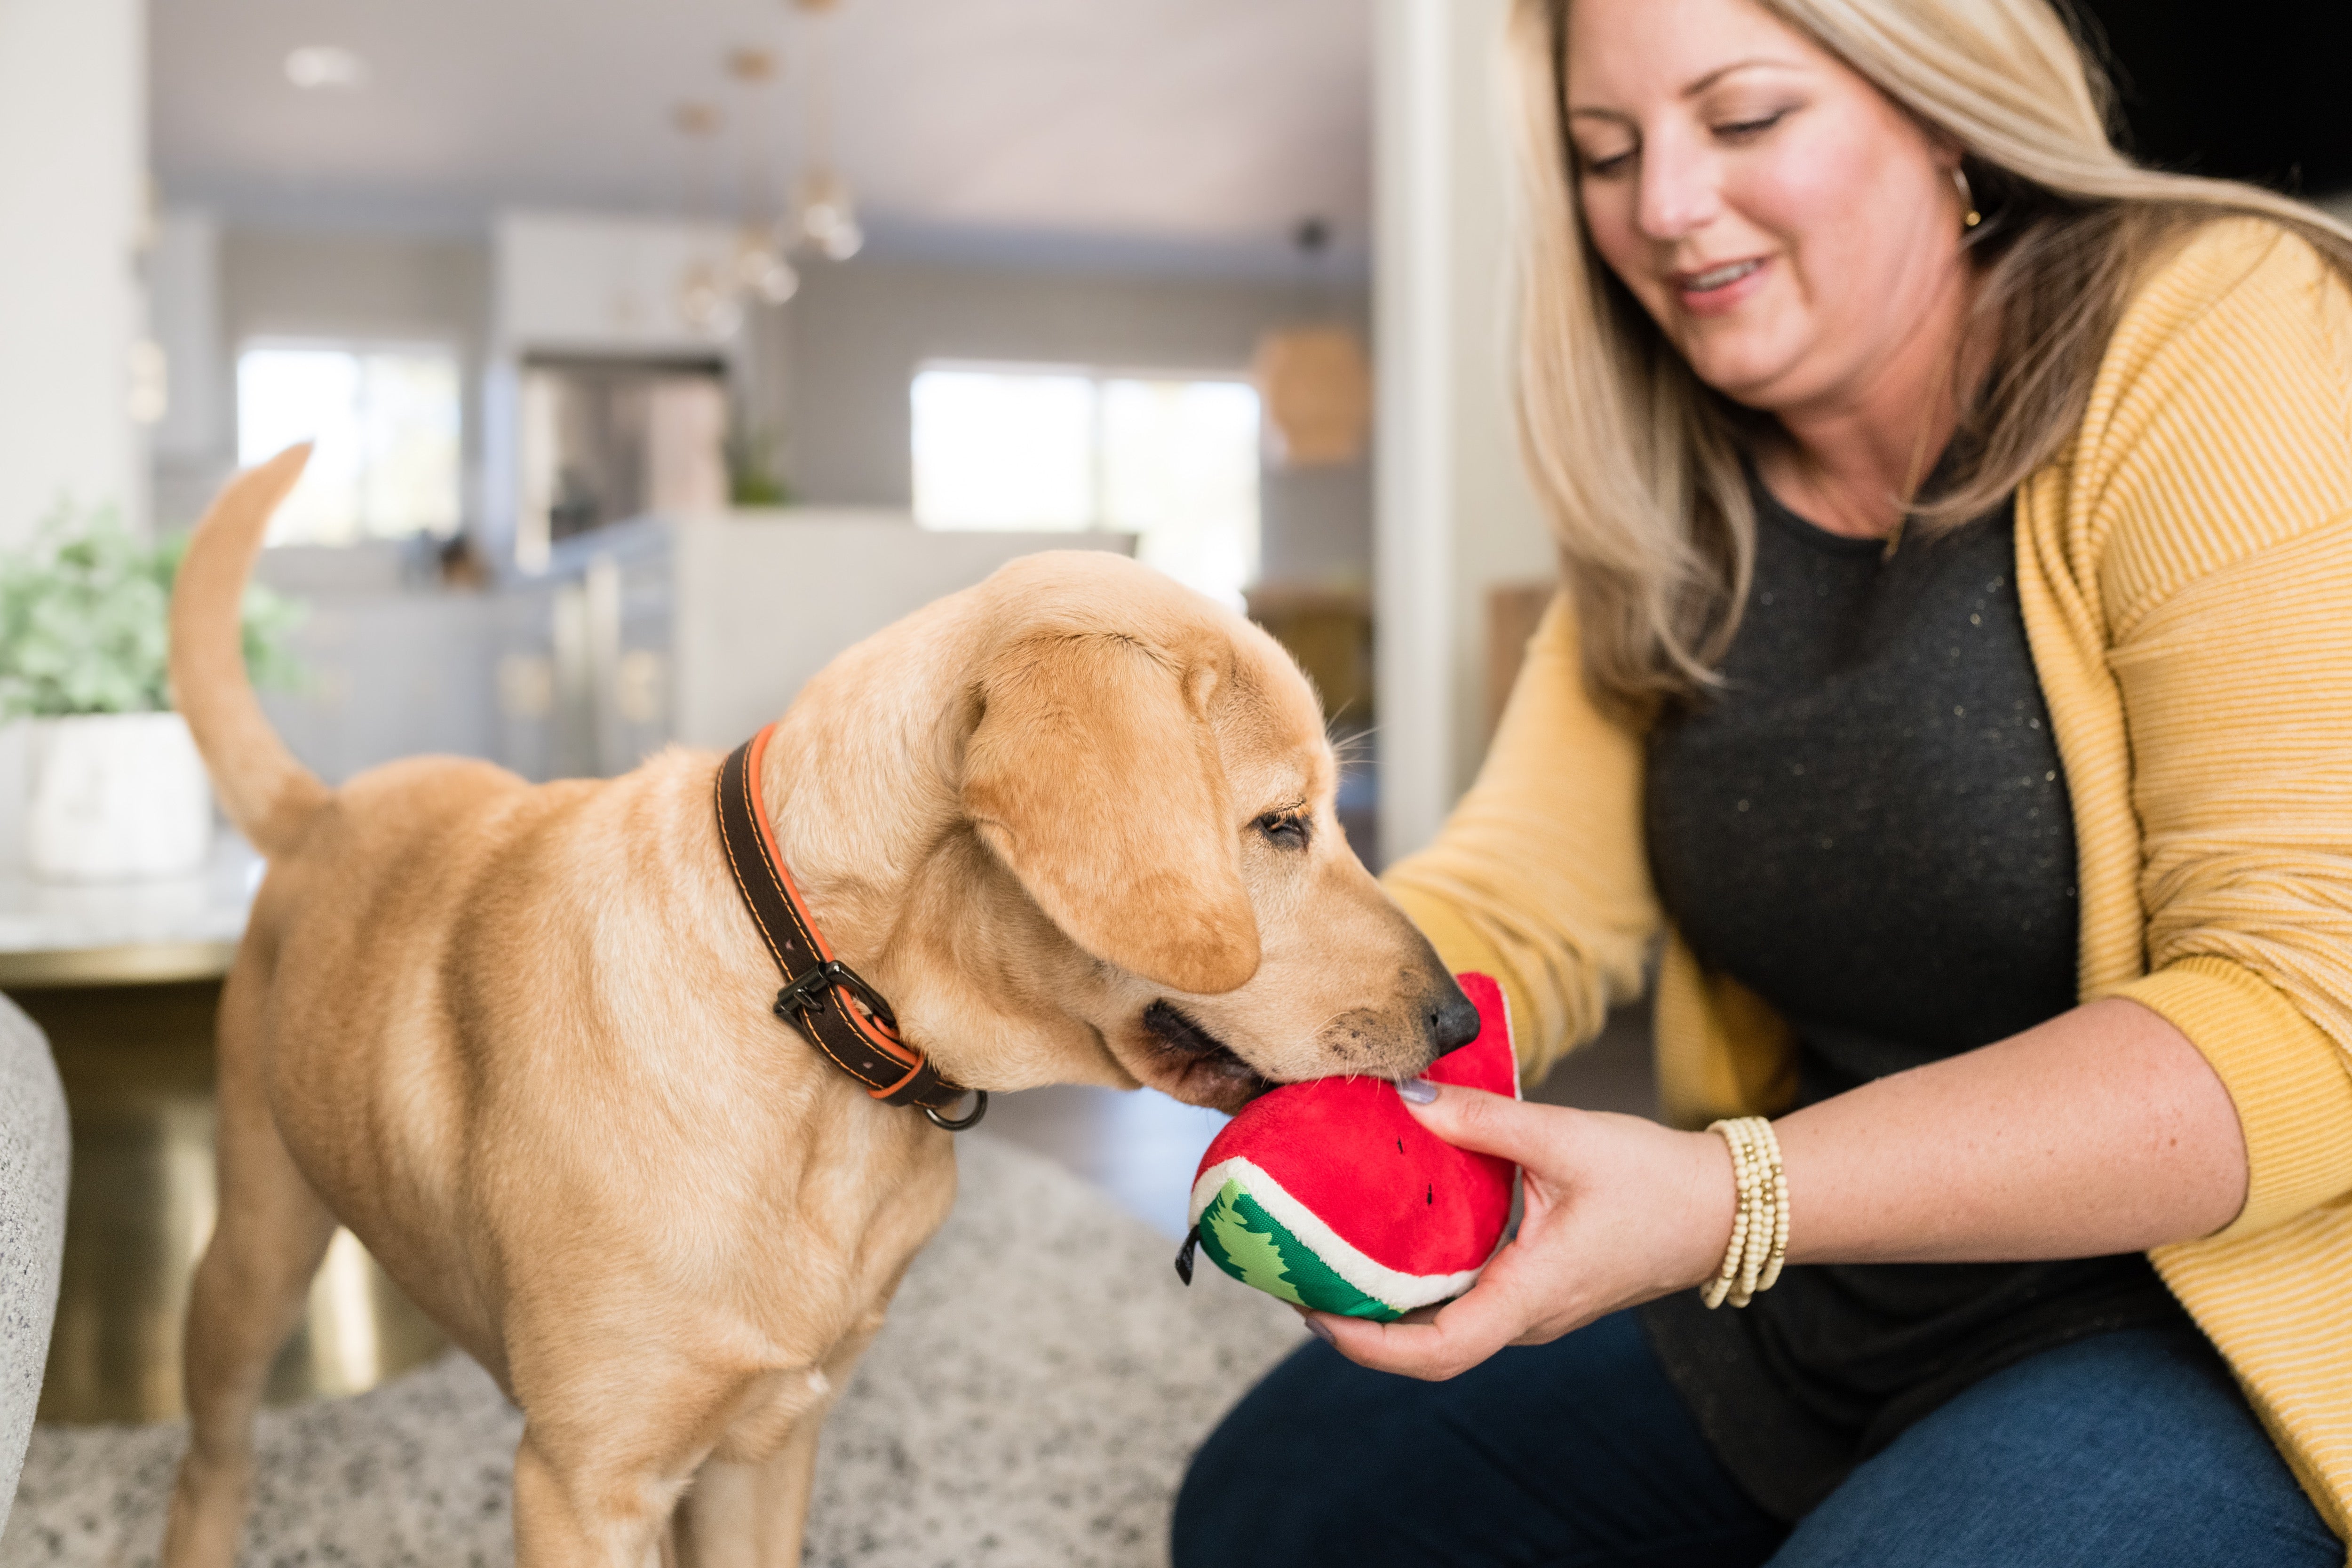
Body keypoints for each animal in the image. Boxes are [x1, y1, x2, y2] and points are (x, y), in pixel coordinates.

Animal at [161, 451, 1468, 1568]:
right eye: (1281, 825)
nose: (1460, 1021)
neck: (817, 1013)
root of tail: (323, 806)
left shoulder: (767, 1441)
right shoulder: (584, 1486)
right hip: (252, 1255)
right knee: (211, 1460)